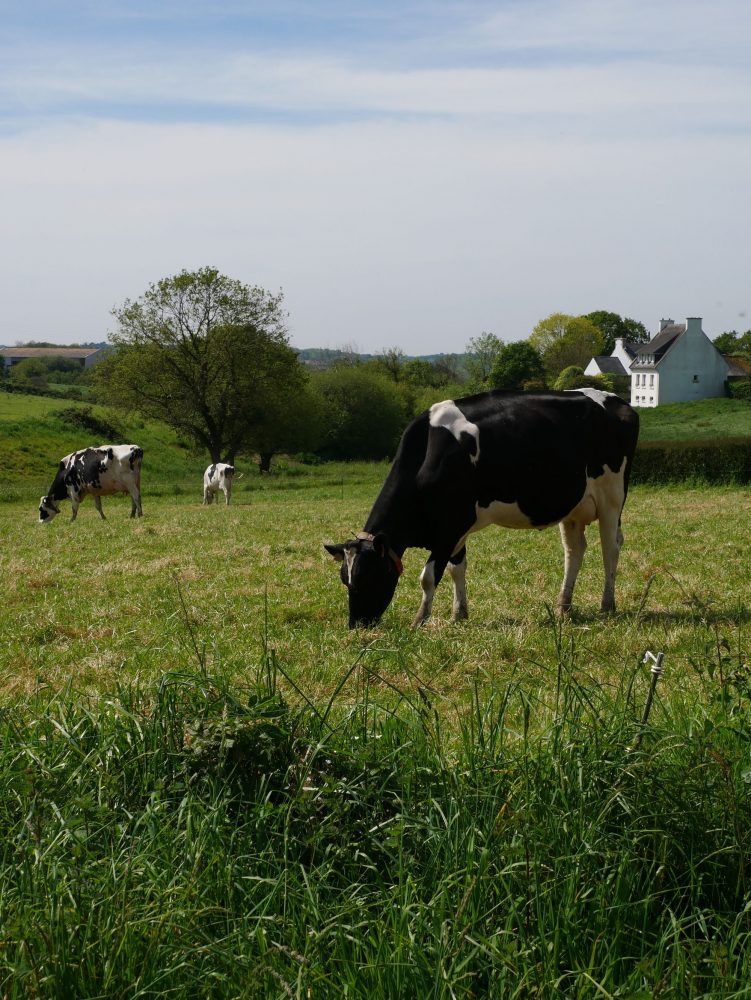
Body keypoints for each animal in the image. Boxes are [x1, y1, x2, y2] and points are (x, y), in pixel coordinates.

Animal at [324, 388, 640, 624]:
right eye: (345, 581)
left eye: (369, 577)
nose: (357, 625)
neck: (429, 453)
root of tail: (620, 402)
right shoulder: (456, 528)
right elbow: (457, 570)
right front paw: (458, 615)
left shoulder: (449, 528)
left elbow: (429, 577)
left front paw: (420, 620)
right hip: (573, 506)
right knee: (574, 551)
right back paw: (563, 606)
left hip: (612, 498)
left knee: (610, 548)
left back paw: (606, 605)